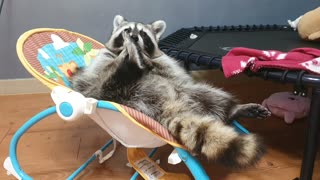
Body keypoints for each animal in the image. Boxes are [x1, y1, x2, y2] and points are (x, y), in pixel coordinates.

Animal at [71, 15, 272, 169]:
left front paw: (142, 57)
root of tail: (165, 106)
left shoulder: (163, 62)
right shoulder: (101, 64)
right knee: (112, 83)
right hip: (110, 93)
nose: (133, 39)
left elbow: (167, 69)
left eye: (143, 33)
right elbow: (101, 69)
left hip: (191, 91)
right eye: (127, 30)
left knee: (210, 96)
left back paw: (233, 109)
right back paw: (132, 62)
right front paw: (129, 55)